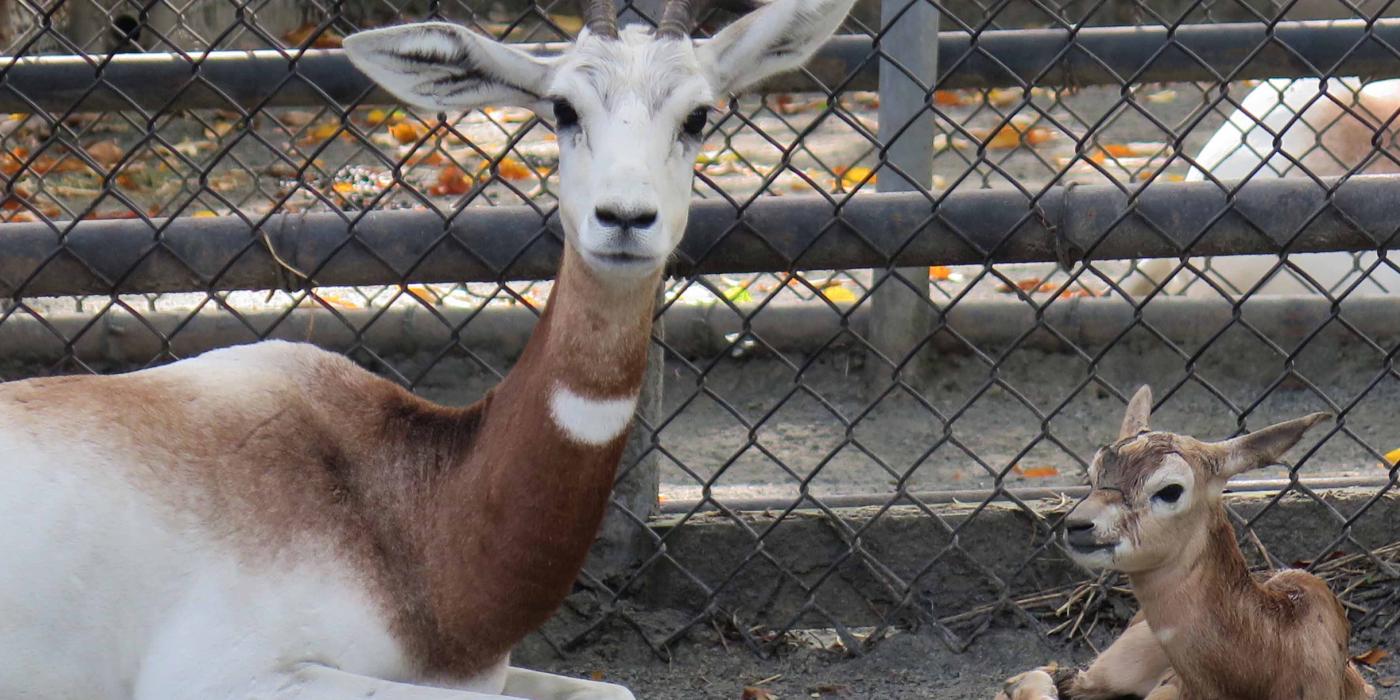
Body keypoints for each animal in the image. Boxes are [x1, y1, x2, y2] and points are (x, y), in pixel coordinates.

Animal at [0, 1, 851, 700]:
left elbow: (615, 690)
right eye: (563, 108)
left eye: (699, 115)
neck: (406, 510)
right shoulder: (226, 674)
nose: (625, 218)